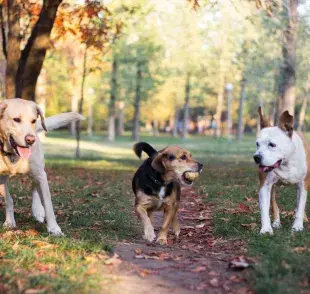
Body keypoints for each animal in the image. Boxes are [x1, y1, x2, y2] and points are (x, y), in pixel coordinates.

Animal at [0, 98, 85, 234]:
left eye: (33, 121)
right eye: (16, 119)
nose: (31, 140)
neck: (13, 155)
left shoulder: (41, 174)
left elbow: (48, 203)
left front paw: (54, 228)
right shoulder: (1, 179)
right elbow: (8, 200)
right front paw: (9, 222)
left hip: (38, 169)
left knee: (35, 185)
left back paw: (37, 210)